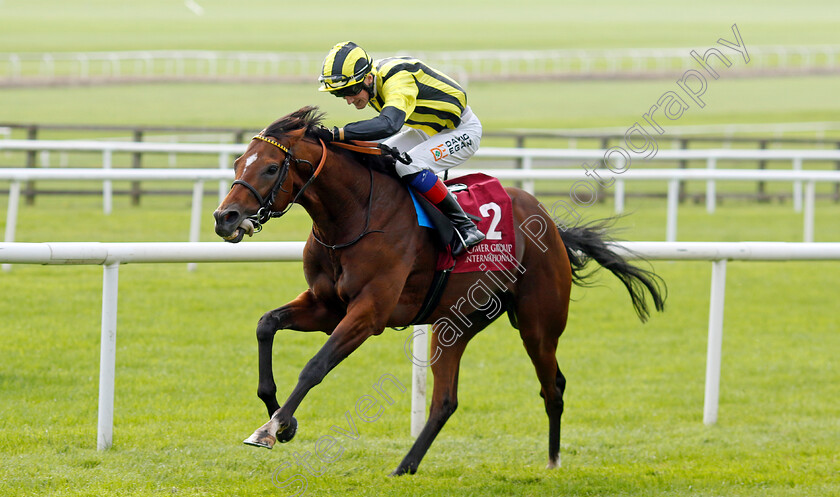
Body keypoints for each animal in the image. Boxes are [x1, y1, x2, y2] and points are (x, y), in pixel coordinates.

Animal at [210, 105, 664, 472]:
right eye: (238, 162)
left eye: (271, 168)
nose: (224, 217)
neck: (353, 215)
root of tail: (551, 224)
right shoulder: (326, 307)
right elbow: (266, 325)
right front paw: (281, 421)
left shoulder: (369, 313)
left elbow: (315, 366)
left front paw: (272, 429)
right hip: (455, 323)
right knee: (446, 400)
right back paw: (405, 466)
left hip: (539, 324)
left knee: (552, 386)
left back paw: (552, 462)